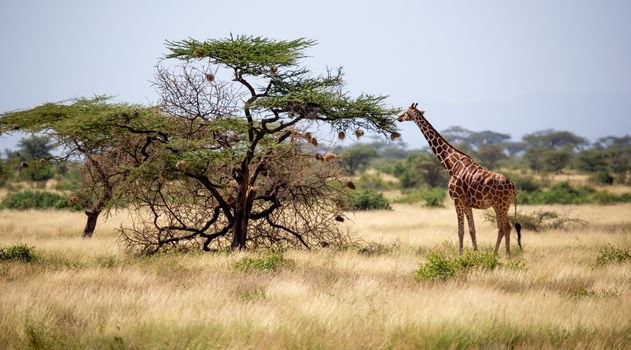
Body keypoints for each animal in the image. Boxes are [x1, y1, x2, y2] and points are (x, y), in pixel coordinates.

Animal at [400, 102, 524, 256]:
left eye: (406, 112)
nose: (399, 118)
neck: (451, 164)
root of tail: (513, 186)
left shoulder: (457, 199)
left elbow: (460, 230)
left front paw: (460, 254)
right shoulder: (466, 203)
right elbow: (472, 229)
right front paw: (475, 253)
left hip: (501, 204)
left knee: (506, 227)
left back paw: (506, 255)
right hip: (501, 205)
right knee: (502, 227)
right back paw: (494, 253)